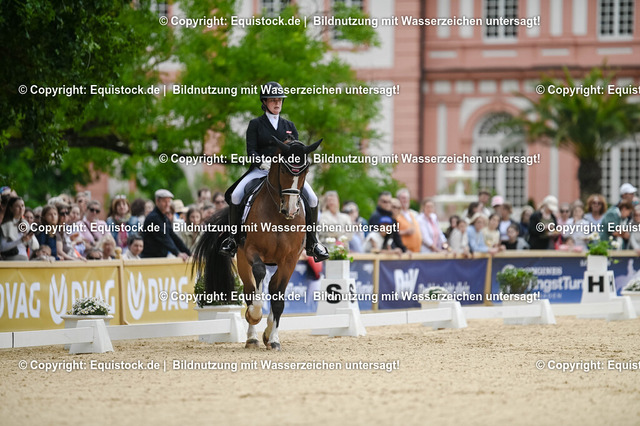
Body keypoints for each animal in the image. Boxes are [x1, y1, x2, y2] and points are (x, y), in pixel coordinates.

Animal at [192, 137, 322, 350]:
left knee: (272, 290)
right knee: (250, 290)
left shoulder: (290, 260)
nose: (290, 209)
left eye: (305, 170)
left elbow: (278, 299)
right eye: (283, 170)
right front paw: (254, 315)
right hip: (242, 260)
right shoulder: (252, 252)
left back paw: (267, 334)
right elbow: (258, 283)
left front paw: (273, 339)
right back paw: (252, 337)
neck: (279, 215)